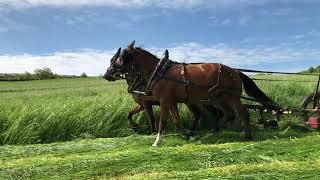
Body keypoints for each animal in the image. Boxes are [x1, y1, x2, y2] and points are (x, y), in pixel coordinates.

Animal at [104, 41, 274, 146]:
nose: (107, 74)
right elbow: (177, 121)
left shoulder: (163, 101)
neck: (159, 73)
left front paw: (157, 141)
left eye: (121, 58)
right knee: (228, 114)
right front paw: (187, 135)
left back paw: (247, 135)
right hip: (216, 98)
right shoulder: (170, 102)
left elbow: (161, 122)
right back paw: (215, 131)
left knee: (243, 112)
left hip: (231, 97)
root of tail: (235, 71)